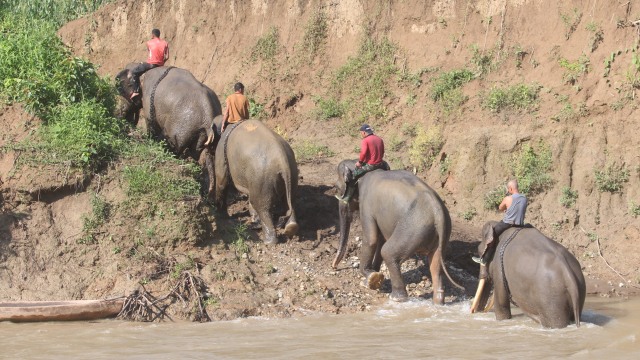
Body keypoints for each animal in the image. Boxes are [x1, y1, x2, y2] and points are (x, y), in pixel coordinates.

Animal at [115, 62, 222, 197]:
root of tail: (209, 119)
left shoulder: (149, 102)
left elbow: (152, 126)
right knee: (197, 153)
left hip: (179, 127)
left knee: (173, 146)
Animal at [332, 160, 462, 304]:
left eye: (336, 187)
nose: (334, 267)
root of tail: (437, 211)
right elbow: (381, 238)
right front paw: (374, 277)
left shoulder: (366, 206)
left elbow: (372, 239)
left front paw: (371, 278)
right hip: (442, 233)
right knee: (435, 264)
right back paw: (438, 302)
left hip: (412, 229)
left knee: (388, 252)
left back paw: (397, 298)